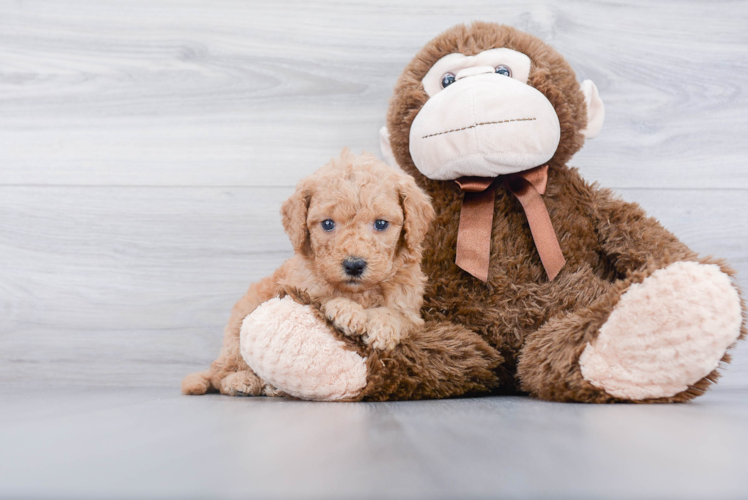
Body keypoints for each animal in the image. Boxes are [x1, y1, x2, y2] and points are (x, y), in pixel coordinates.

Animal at [181, 150, 436, 396]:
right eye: (328, 224)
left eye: (381, 224)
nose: (354, 265)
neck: (359, 293)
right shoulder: (300, 287)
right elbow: (323, 297)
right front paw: (348, 312)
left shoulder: (413, 314)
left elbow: (399, 315)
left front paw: (382, 326)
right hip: (238, 329)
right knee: (221, 373)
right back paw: (241, 381)